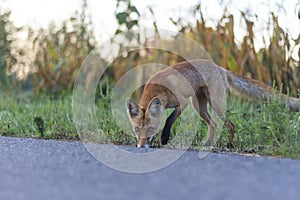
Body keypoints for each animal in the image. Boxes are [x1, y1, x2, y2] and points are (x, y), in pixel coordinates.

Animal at [126, 59, 300, 147]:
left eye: (150, 129)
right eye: (136, 129)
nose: (141, 147)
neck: (160, 87)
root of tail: (221, 67)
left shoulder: (182, 102)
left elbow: (169, 119)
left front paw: (164, 138)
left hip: (214, 104)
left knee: (230, 124)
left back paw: (228, 145)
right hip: (200, 107)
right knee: (214, 125)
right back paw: (208, 143)